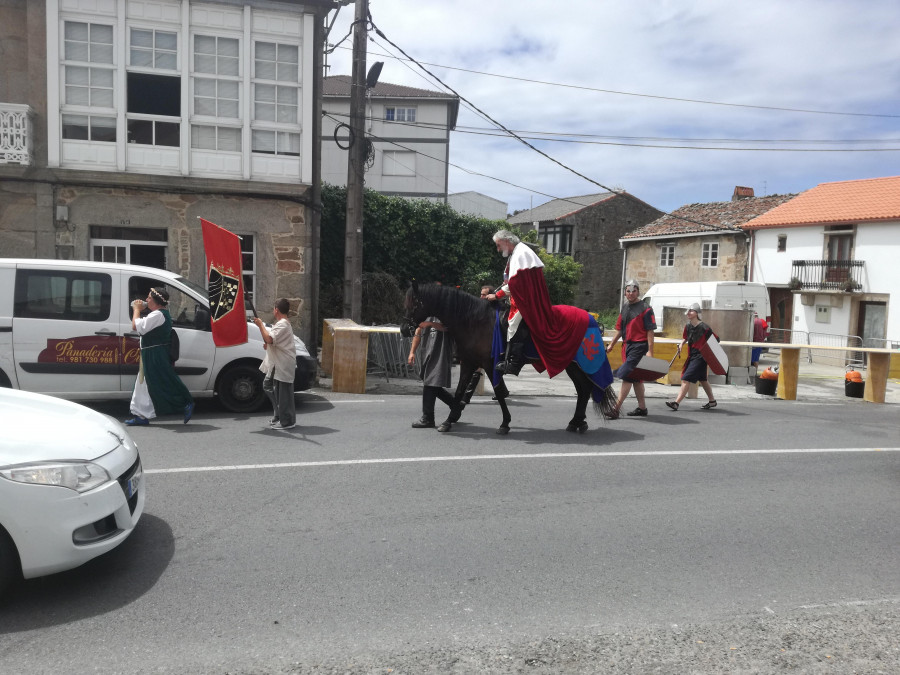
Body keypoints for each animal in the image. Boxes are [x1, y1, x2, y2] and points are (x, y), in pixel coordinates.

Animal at [404, 284, 616, 434]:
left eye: (413, 303)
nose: (404, 329)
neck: (474, 321)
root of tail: (591, 318)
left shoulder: (489, 364)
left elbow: (499, 392)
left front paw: (505, 423)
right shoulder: (469, 363)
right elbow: (459, 391)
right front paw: (449, 420)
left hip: (578, 365)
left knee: (585, 389)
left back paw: (578, 422)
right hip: (571, 365)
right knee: (583, 390)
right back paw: (576, 422)